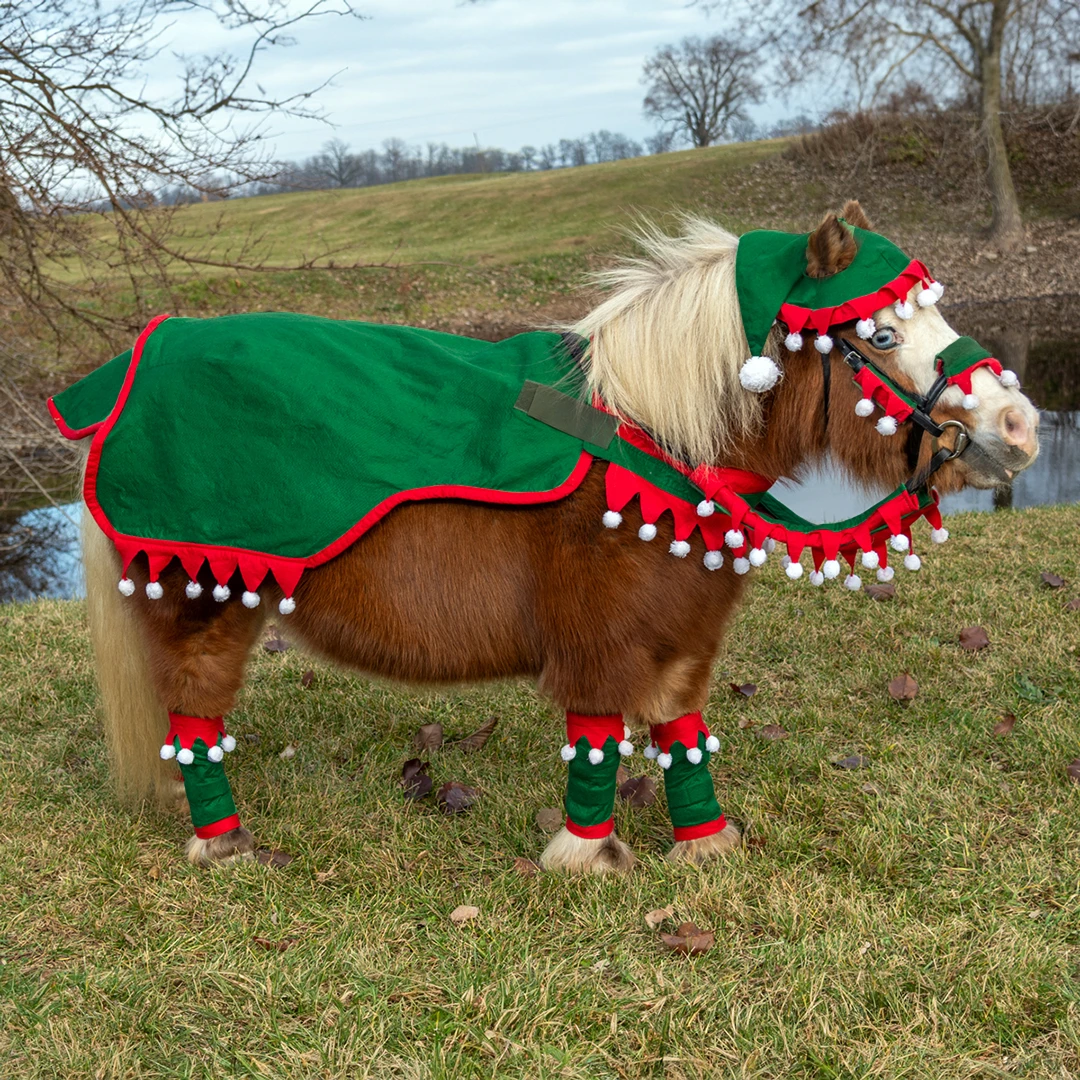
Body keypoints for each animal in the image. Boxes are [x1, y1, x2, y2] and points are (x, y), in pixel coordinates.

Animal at [66, 200, 1040, 873]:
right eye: (879, 331)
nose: (1020, 428)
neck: (653, 434)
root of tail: (128, 369)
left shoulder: (684, 635)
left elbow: (682, 732)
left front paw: (706, 844)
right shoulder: (600, 634)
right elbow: (599, 733)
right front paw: (588, 858)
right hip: (206, 603)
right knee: (195, 715)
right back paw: (222, 843)